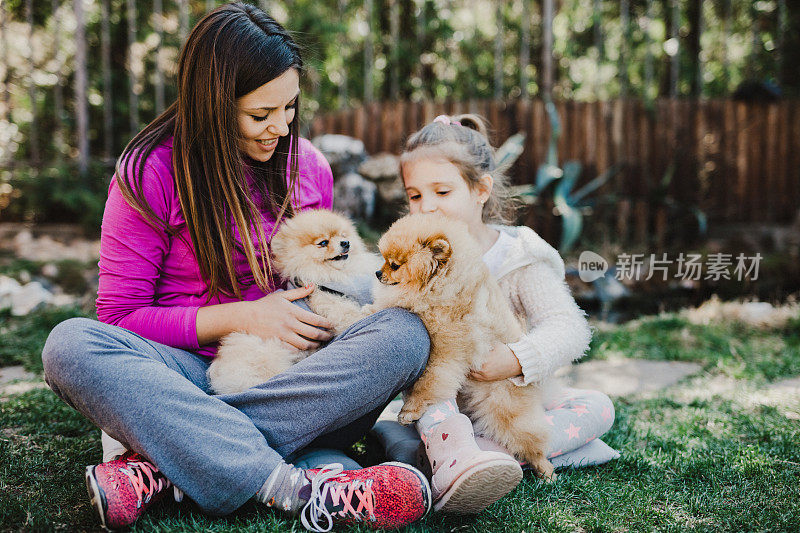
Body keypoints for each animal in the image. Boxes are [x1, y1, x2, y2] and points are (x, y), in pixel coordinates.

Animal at [208, 210, 380, 392]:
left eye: (342, 235)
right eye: (323, 243)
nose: (346, 243)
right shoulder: (329, 302)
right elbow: (351, 315)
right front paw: (371, 313)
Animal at [372, 212, 552, 478]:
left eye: (395, 265)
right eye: (383, 260)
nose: (377, 272)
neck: (440, 288)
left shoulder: (447, 351)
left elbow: (429, 382)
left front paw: (410, 410)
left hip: (506, 410)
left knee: (531, 439)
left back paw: (546, 471)